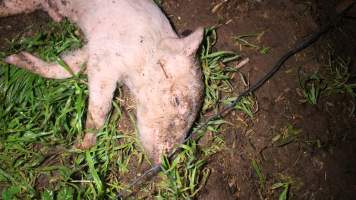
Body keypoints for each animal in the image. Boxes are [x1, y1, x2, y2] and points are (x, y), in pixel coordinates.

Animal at [0, 0, 203, 163]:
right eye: (176, 100)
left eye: (193, 121)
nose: (164, 161)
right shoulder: (104, 58)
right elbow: (100, 107)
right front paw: (82, 147)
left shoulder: (92, 51)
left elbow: (67, 67)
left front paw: (14, 58)